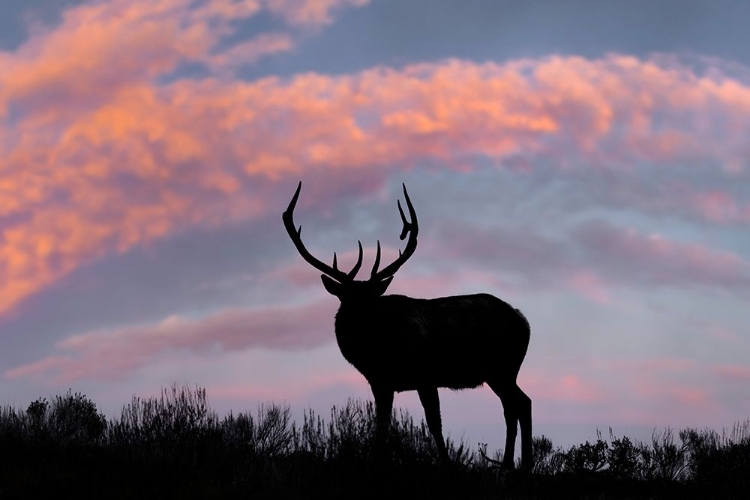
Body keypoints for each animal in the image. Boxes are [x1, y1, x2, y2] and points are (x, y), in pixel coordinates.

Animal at [284, 183, 536, 468]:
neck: (380, 354)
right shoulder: (380, 382)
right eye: (347, 299)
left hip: (502, 367)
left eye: (373, 300)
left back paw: (520, 464)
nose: (364, 323)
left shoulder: (425, 375)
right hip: (501, 371)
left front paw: (447, 463)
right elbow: (382, 425)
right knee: (516, 405)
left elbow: (435, 424)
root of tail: (524, 321)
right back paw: (513, 464)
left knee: (519, 404)